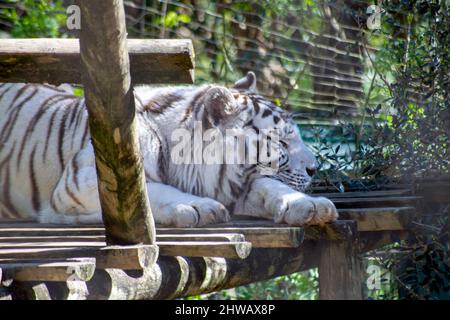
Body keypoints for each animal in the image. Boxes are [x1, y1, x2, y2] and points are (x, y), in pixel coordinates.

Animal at [0, 73, 338, 228]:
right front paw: (199, 207)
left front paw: (311, 205)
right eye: (281, 142)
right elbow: (148, 190)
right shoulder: (81, 179)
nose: (314, 168)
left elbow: (270, 186)